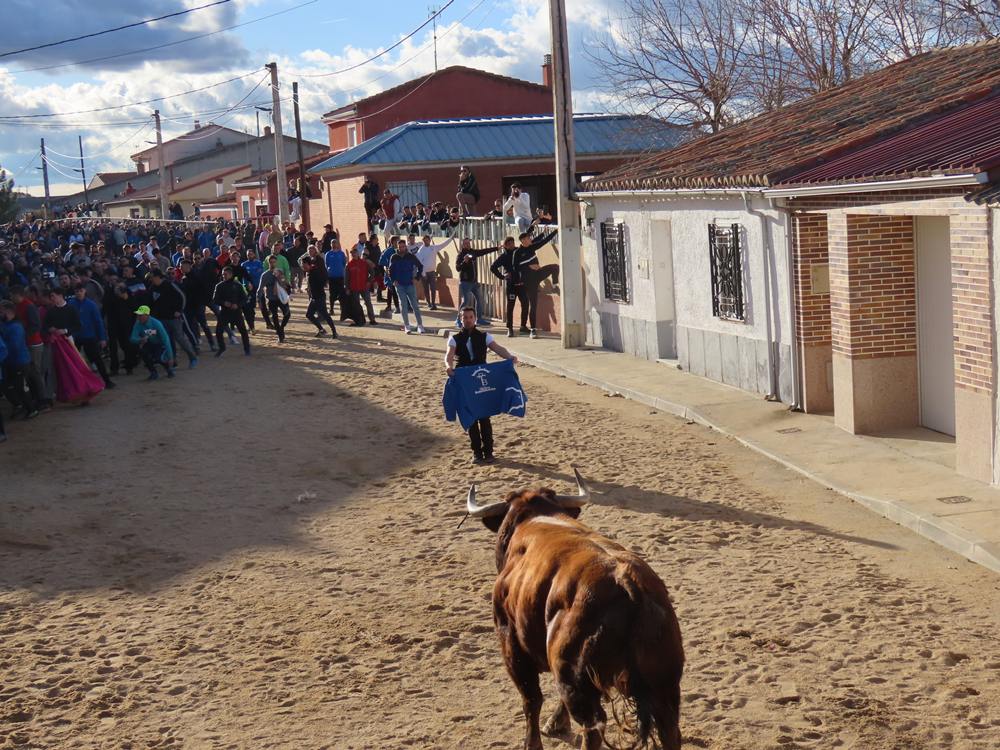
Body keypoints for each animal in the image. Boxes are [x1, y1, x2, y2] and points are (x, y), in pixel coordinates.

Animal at [464, 470, 684, 750]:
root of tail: (628, 584)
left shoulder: (511, 642)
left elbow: (531, 699)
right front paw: (556, 722)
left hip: (579, 683)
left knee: (593, 727)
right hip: (664, 682)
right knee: (669, 730)